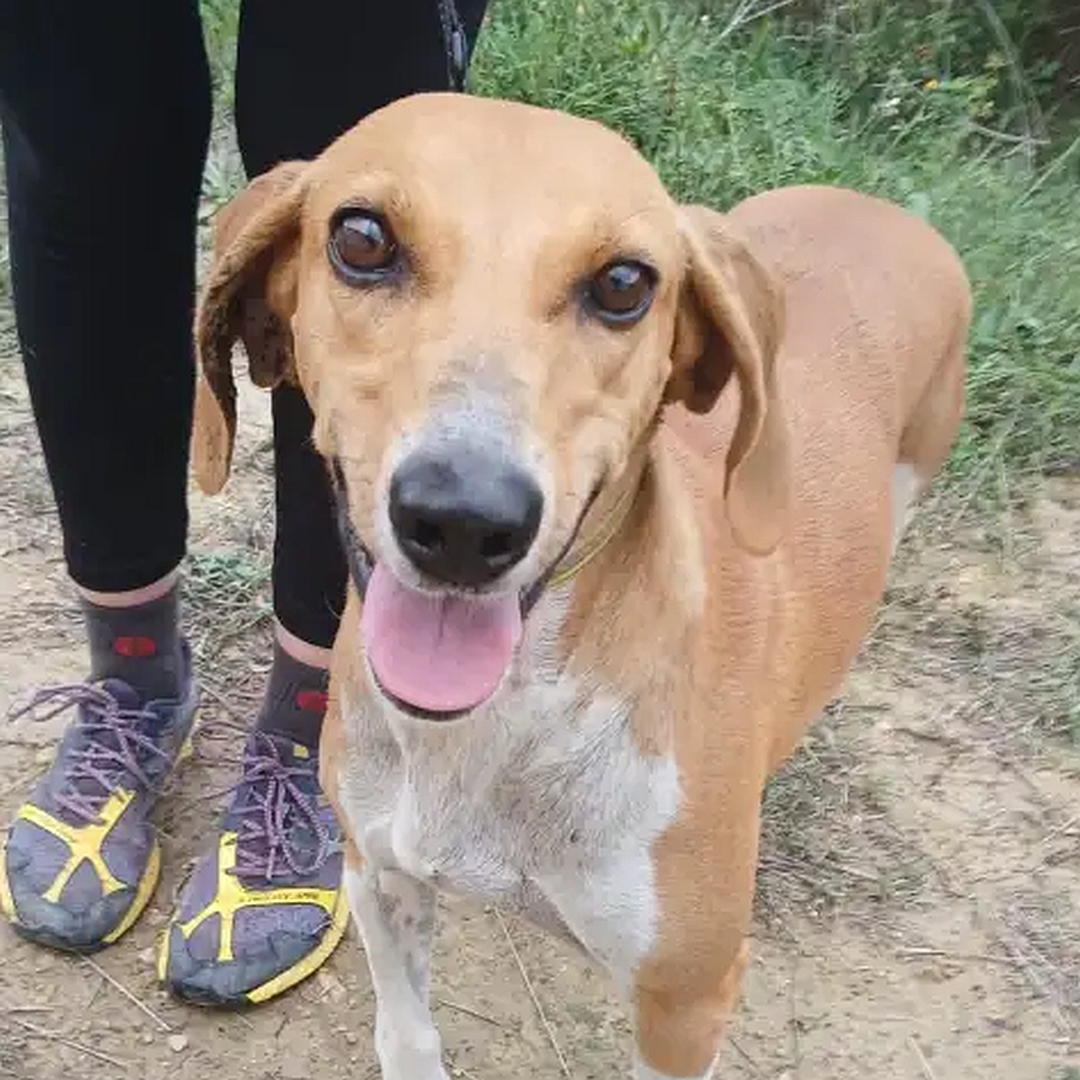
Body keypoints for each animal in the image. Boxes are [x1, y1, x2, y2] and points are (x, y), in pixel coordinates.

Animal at [192, 92, 972, 1080]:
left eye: (624, 283)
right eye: (361, 238)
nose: (463, 520)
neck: (501, 721)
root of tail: (887, 210)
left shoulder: (686, 1003)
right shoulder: (380, 875)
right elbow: (406, 1032)